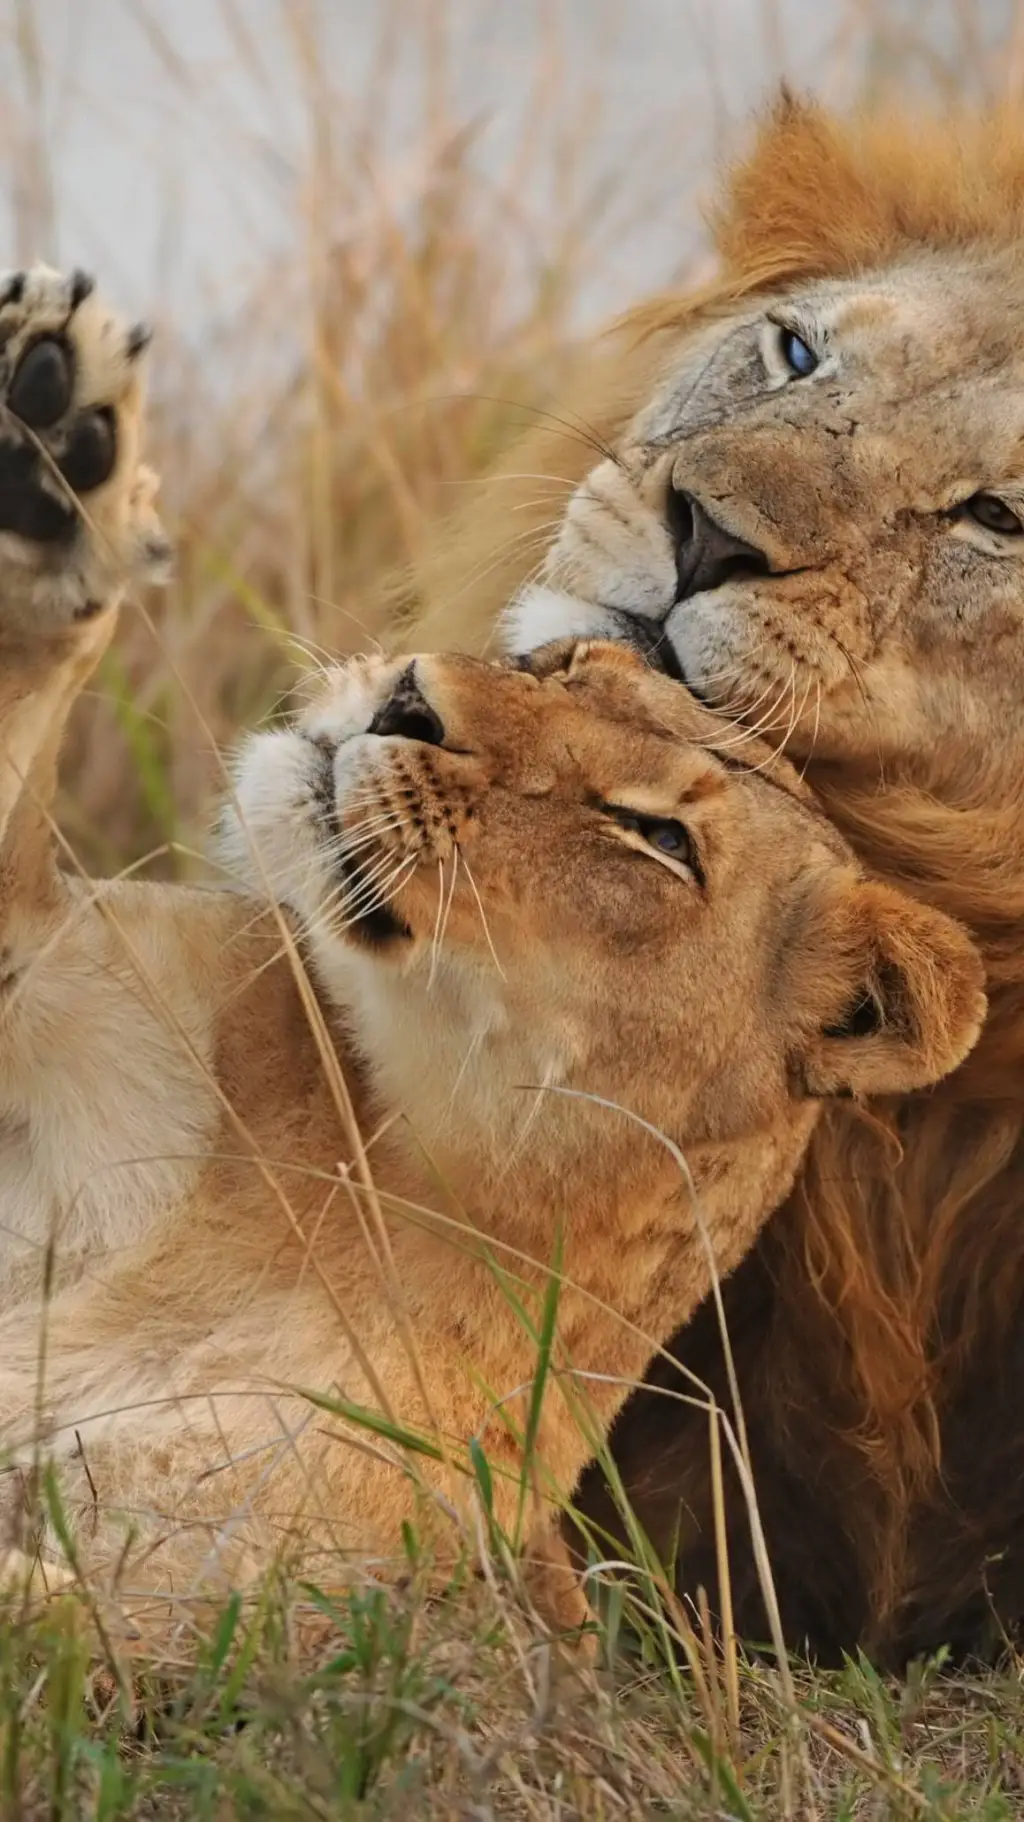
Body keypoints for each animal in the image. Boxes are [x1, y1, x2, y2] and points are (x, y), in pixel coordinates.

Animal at [0, 265, 982, 1637]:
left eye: (655, 836)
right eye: (558, 662)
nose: (407, 697)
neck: (360, 1191)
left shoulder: (230, 1620)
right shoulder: (52, 960)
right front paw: (49, 437)